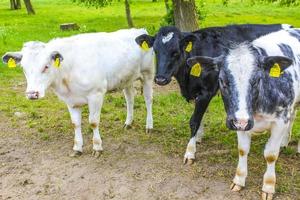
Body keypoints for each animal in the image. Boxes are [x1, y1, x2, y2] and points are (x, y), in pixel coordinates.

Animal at [135, 23, 290, 164]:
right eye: (155, 51)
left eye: (176, 52)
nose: (160, 79)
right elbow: (199, 117)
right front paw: (198, 137)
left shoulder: (206, 92)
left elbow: (194, 120)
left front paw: (190, 152)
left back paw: (283, 142)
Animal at [188, 28, 300, 200]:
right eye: (222, 81)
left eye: (257, 80)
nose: (241, 121)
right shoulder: (239, 120)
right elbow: (243, 149)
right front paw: (239, 180)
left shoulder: (280, 121)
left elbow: (271, 155)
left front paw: (268, 186)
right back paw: (284, 142)